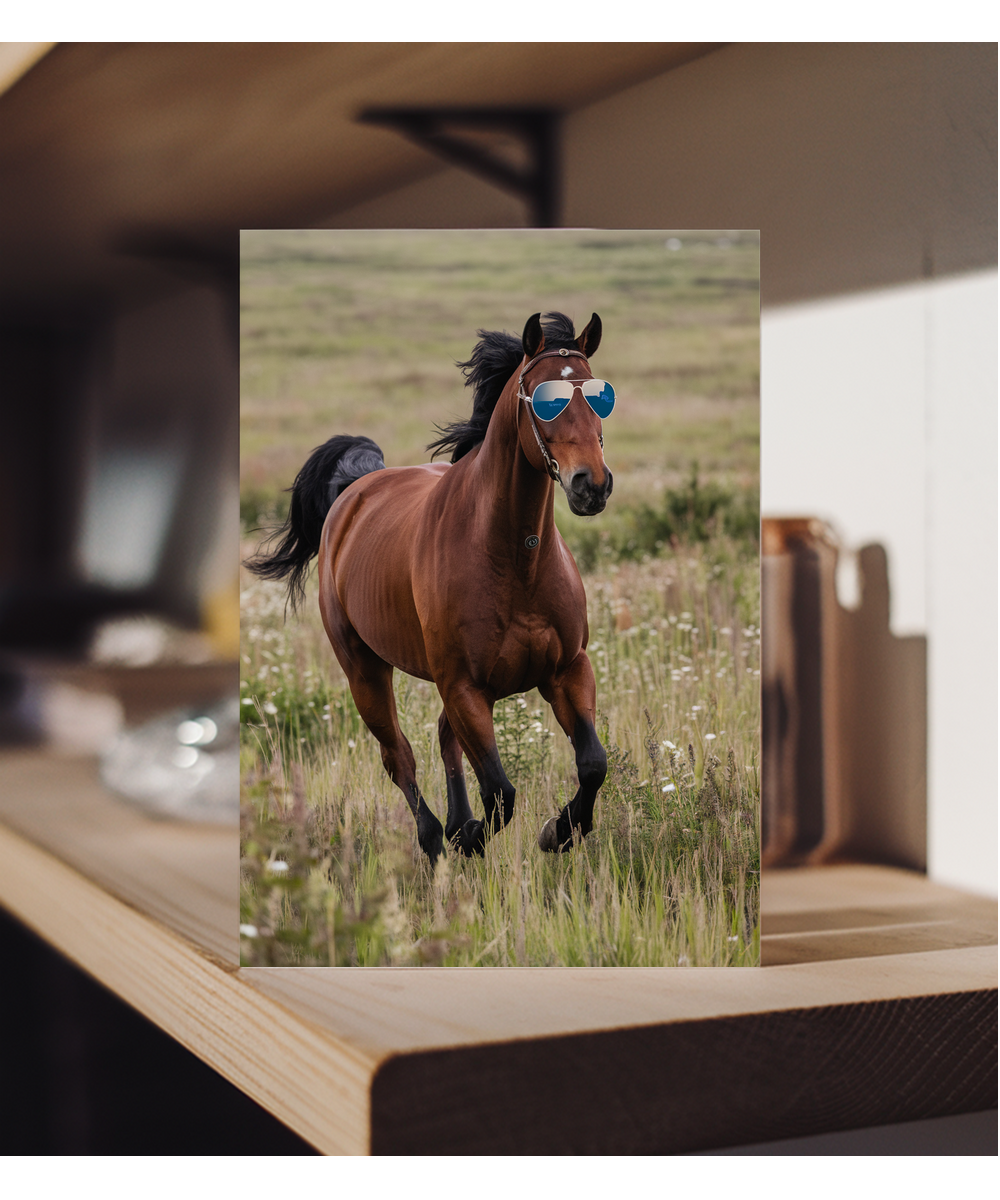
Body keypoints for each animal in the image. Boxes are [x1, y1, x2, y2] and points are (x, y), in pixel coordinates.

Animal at [245, 311, 615, 865]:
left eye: (599, 395)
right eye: (545, 398)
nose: (592, 485)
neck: (515, 560)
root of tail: (354, 491)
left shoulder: (566, 669)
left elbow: (592, 763)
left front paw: (559, 831)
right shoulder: (464, 686)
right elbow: (501, 792)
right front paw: (471, 836)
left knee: (444, 740)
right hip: (364, 670)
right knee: (399, 757)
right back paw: (436, 836)